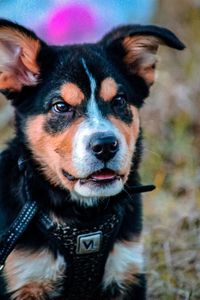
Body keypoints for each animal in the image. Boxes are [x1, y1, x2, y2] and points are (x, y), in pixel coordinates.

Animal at [0, 19, 184, 298]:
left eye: (119, 100)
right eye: (60, 106)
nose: (105, 146)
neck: (86, 220)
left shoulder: (126, 268)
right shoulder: (24, 278)